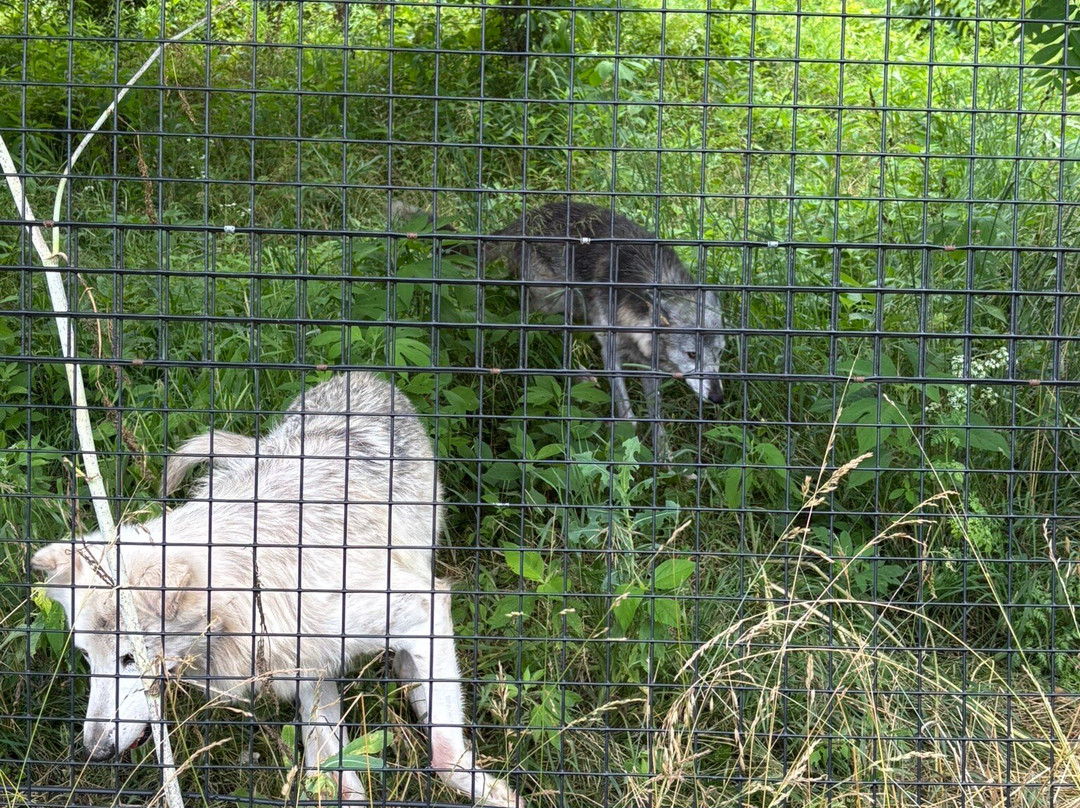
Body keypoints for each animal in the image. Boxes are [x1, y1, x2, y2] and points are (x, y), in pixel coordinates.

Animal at [30, 372, 521, 807]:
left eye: (130, 658)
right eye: (87, 658)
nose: (93, 751)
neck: (253, 588)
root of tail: (360, 377)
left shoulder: (424, 608)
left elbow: (444, 756)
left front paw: (496, 794)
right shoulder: (311, 669)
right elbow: (336, 778)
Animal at [490, 201, 726, 429]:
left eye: (719, 352)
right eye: (692, 354)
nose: (717, 397)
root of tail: (524, 220)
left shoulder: (647, 365)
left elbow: (657, 419)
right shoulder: (610, 354)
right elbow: (629, 419)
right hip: (556, 302)